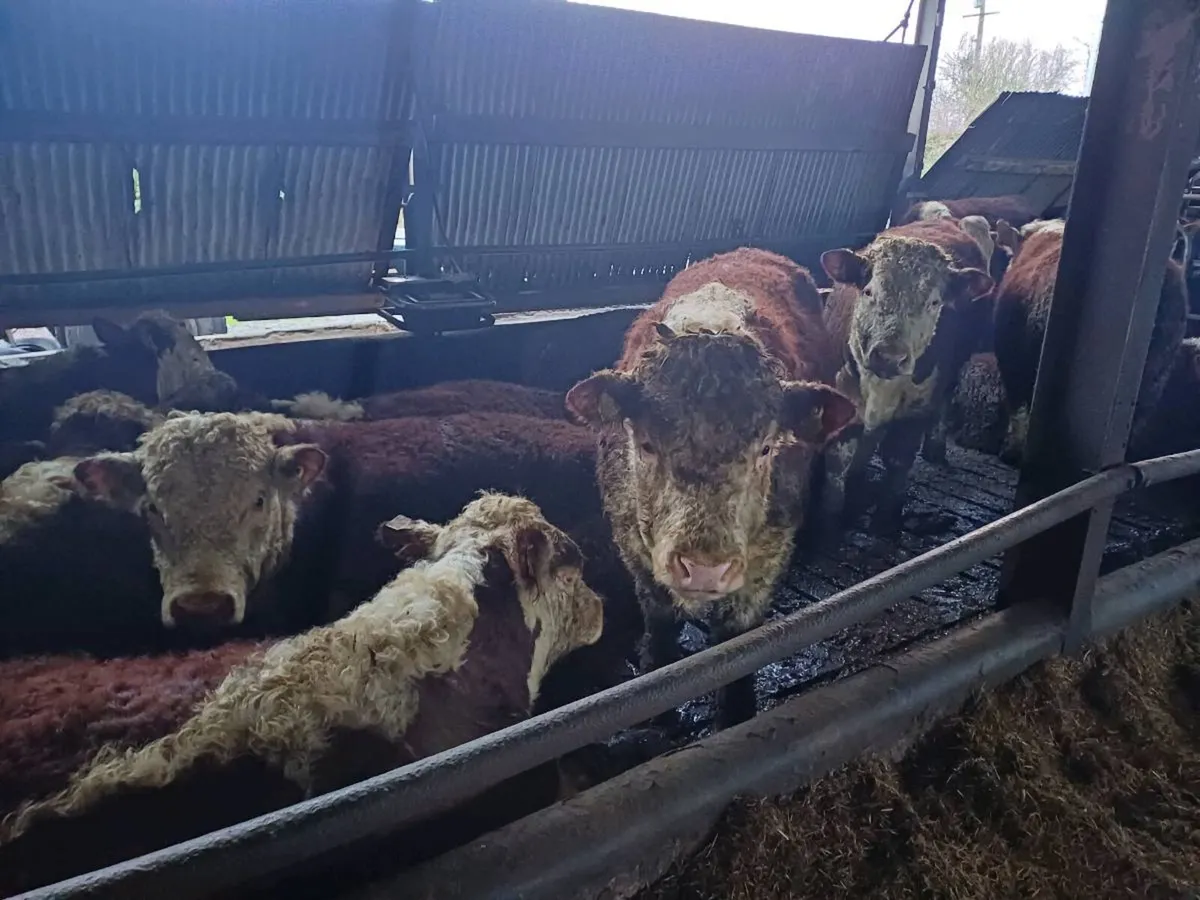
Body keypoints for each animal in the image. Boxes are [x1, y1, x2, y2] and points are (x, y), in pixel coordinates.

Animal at [565, 247, 857, 728]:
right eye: (645, 444)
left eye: (766, 448)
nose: (704, 569)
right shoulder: (633, 548)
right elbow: (659, 619)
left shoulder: (765, 560)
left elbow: (736, 643)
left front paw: (735, 712)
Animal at [820, 218, 995, 532]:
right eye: (869, 292)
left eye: (935, 303)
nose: (890, 357)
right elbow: (837, 466)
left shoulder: (916, 411)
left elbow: (898, 460)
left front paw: (885, 523)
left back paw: (935, 448)